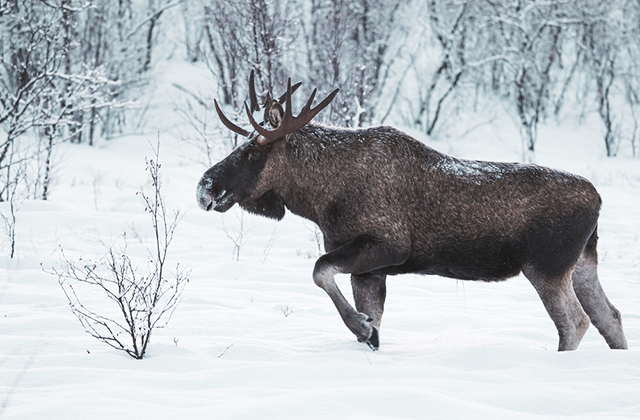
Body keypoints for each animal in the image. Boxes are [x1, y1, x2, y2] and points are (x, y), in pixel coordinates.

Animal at [198, 72, 628, 352]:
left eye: (253, 153)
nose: (205, 188)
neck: (320, 200)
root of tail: (598, 200)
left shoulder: (387, 245)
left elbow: (320, 270)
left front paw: (360, 327)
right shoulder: (370, 269)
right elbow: (367, 312)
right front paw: (368, 333)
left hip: (546, 267)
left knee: (575, 322)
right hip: (583, 263)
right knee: (611, 317)